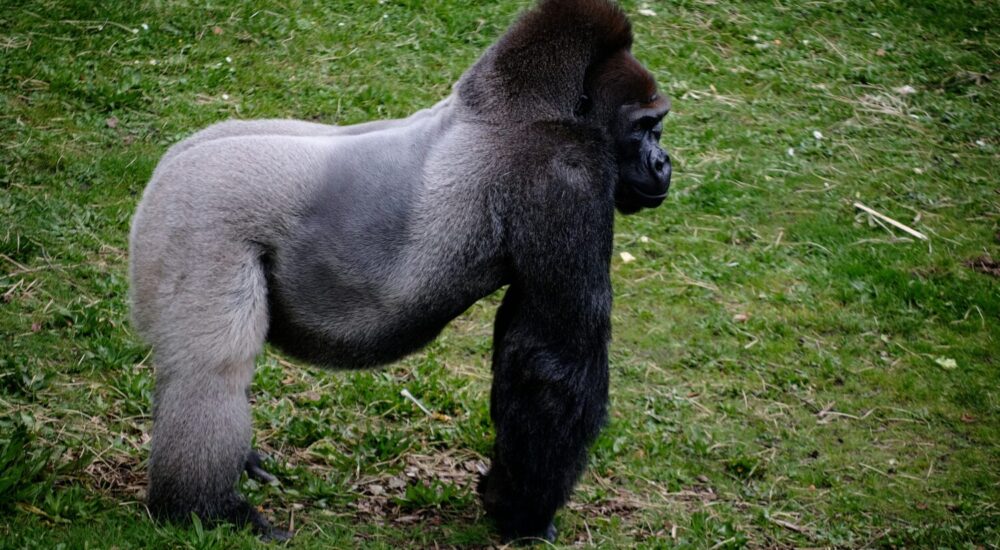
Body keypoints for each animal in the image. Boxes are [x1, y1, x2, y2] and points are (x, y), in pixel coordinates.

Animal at [129, 0, 671, 543]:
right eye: (645, 126)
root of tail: (165, 170)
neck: (529, 106)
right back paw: (202, 509)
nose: (663, 163)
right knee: (212, 371)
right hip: (197, 220)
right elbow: (554, 363)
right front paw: (523, 514)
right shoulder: (567, 172)